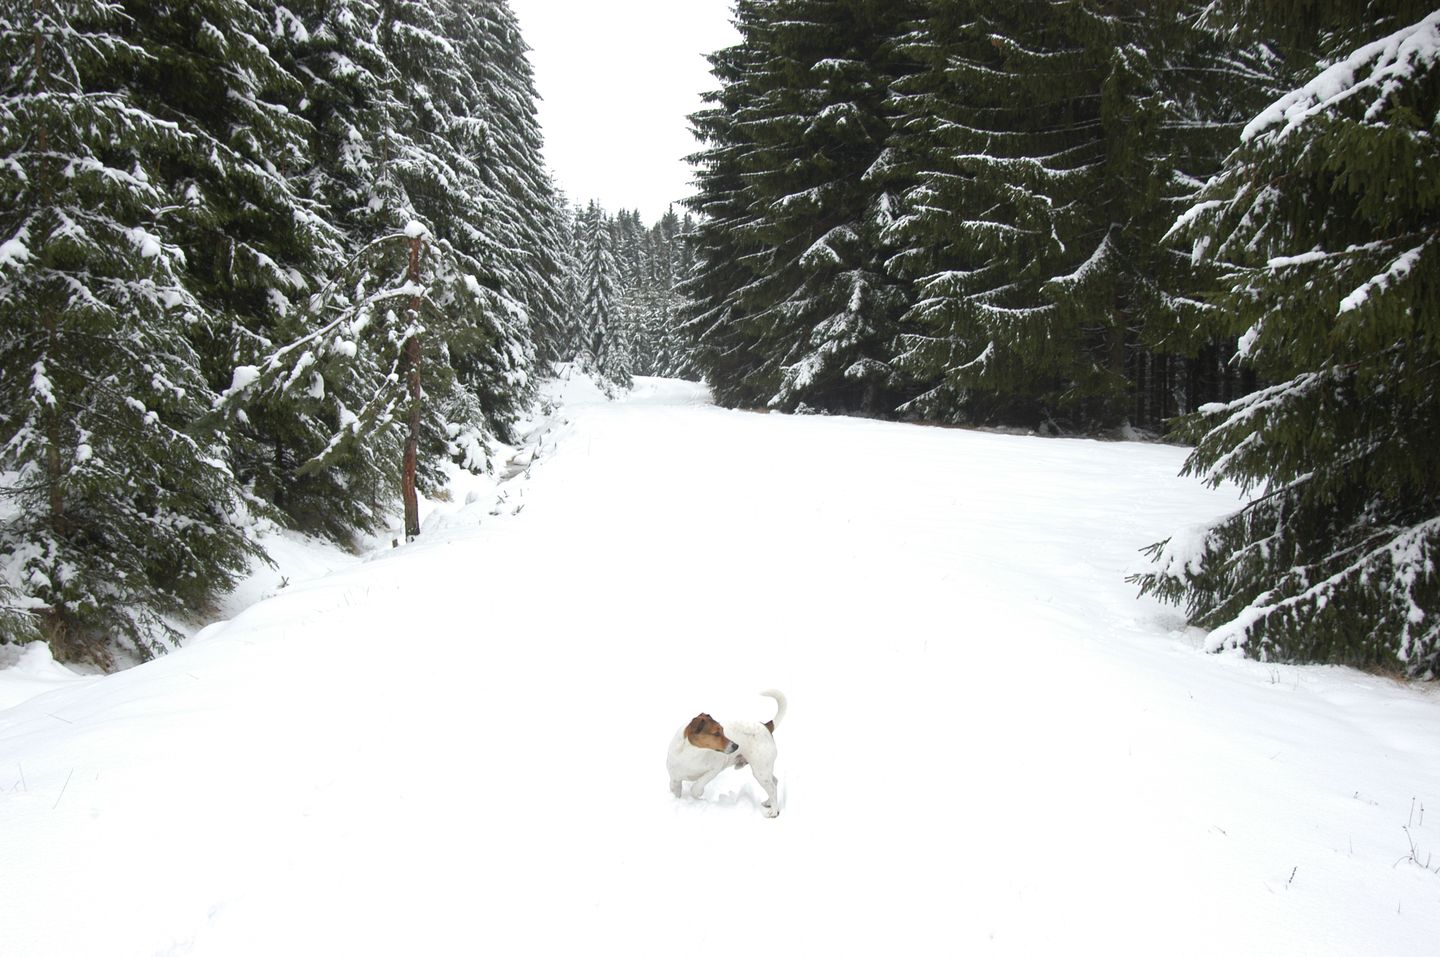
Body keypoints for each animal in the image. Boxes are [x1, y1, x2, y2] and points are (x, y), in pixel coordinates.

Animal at [667, 689, 786, 818]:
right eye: (716, 733)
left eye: (723, 731)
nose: (736, 746)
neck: (691, 754)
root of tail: (765, 726)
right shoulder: (675, 780)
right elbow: (676, 791)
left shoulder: (714, 769)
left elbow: (697, 786)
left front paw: (698, 794)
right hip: (764, 770)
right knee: (774, 782)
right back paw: (769, 803)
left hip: (761, 770)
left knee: (772, 788)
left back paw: (774, 811)